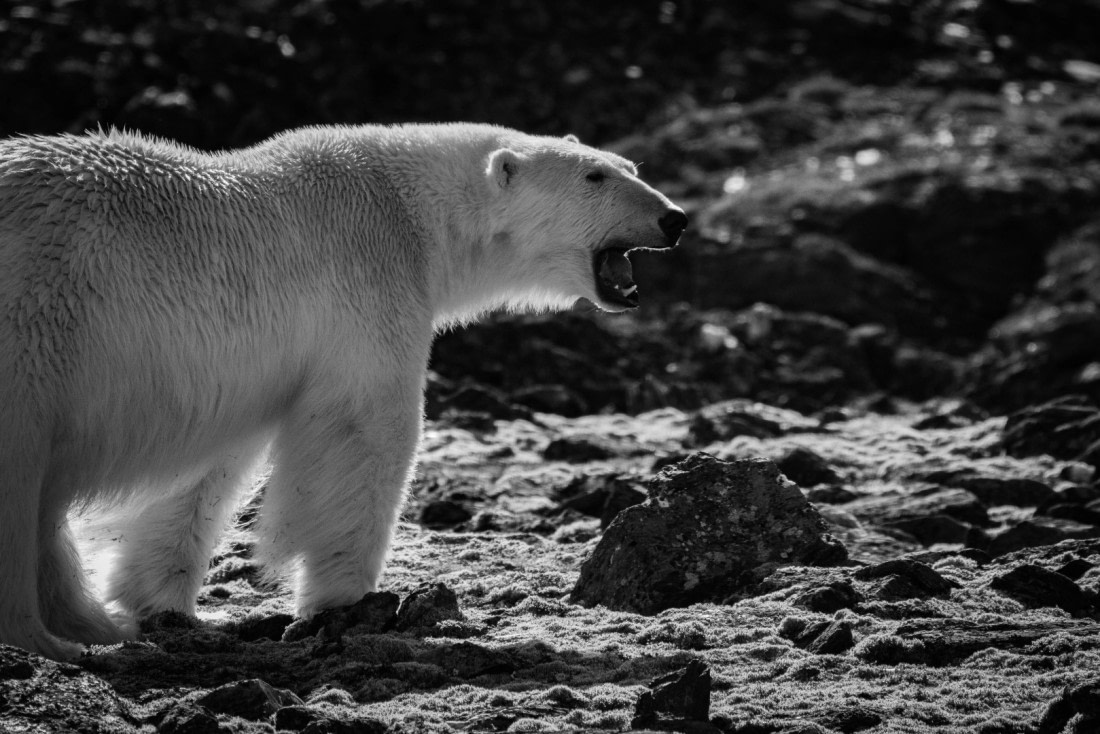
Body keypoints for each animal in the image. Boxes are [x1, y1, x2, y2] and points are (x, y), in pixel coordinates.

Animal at [0, 123, 686, 660]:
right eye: (595, 176)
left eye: (631, 167)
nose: (674, 219)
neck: (412, 209)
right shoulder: (367, 281)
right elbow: (366, 433)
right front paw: (346, 602)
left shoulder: (242, 367)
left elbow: (207, 467)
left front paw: (167, 607)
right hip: (38, 316)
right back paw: (46, 638)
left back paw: (90, 623)